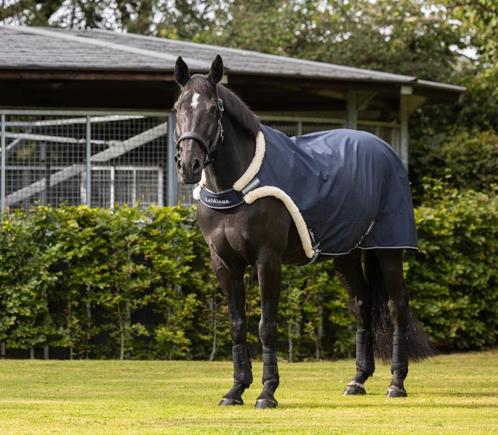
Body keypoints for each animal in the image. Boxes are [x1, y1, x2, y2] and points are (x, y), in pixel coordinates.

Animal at [173, 55, 430, 408]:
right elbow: (237, 325)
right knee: (362, 305)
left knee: (396, 307)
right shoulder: (224, 263)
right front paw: (235, 390)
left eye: (213, 110)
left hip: (388, 249)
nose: (189, 165)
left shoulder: (267, 260)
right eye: (177, 108)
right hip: (346, 254)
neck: (237, 189)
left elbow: (266, 325)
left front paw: (267, 392)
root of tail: (384, 149)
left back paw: (396, 383)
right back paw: (358, 380)